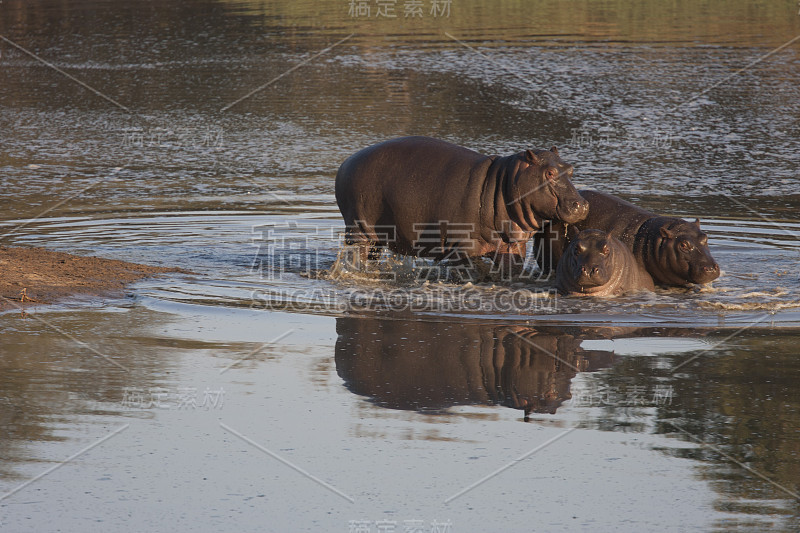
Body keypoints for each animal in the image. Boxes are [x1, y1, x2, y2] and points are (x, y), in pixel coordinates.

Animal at [332, 136, 588, 274]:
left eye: (570, 168)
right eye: (550, 173)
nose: (582, 204)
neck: (505, 183)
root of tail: (346, 162)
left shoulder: (512, 247)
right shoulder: (463, 246)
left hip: (376, 236)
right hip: (358, 230)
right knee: (356, 256)